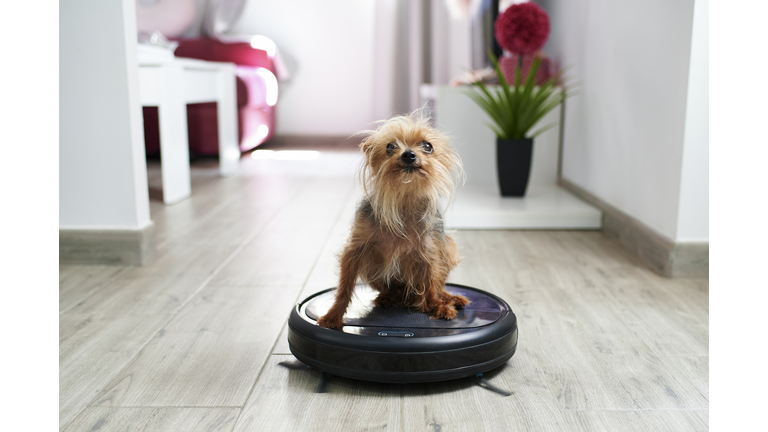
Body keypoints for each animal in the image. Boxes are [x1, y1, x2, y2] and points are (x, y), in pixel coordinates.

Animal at [316, 110, 468, 328]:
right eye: (390, 147)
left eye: (427, 146)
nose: (408, 154)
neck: (403, 198)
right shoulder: (355, 250)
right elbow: (344, 287)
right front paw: (333, 315)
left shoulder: (429, 253)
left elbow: (431, 282)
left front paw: (437, 306)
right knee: (390, 290)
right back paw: (387, 297)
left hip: (449, 249)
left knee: (437, 285)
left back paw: (447, 298)